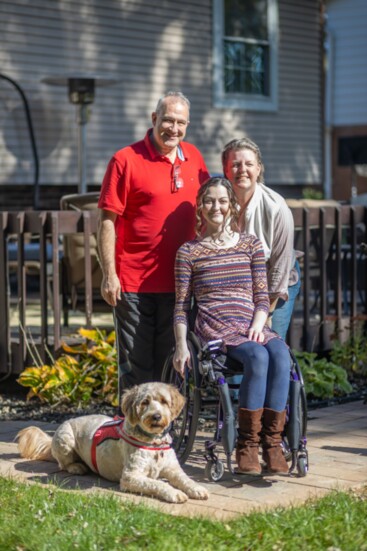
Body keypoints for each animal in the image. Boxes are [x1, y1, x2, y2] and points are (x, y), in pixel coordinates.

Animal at [16, 384, 210, 504]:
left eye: (164, 401)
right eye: (145, 402)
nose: (156, 416)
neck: (153, 442)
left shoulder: (173, 469)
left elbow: (185, 479)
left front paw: (197, 488)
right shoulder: (130, 477)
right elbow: (159, 483)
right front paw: (174, 492)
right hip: (65, 438)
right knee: (63, 464)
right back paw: (76, 466)